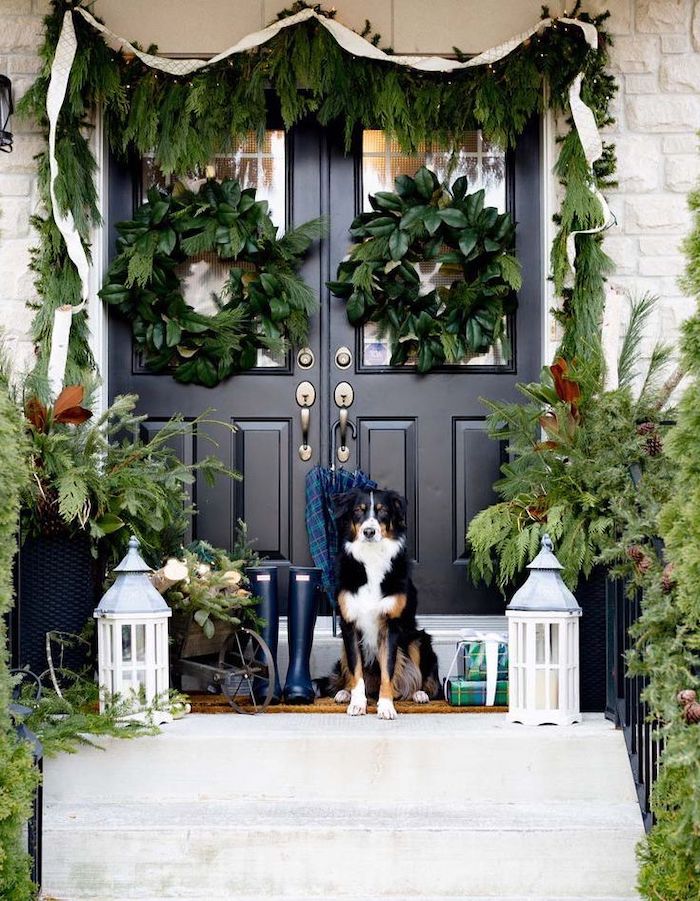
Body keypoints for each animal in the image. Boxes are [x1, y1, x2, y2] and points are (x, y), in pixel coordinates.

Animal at [328, 486, 438, 716]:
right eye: (358, 511)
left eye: (383, 511)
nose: (369, 532)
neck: (371, 558)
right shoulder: (349, 625)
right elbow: (356, 671)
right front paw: (357, 703)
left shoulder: (391, 625)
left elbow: (388, 669)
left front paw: (386, 706)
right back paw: (344, 693)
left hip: (418, 639)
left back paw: (419, 694)